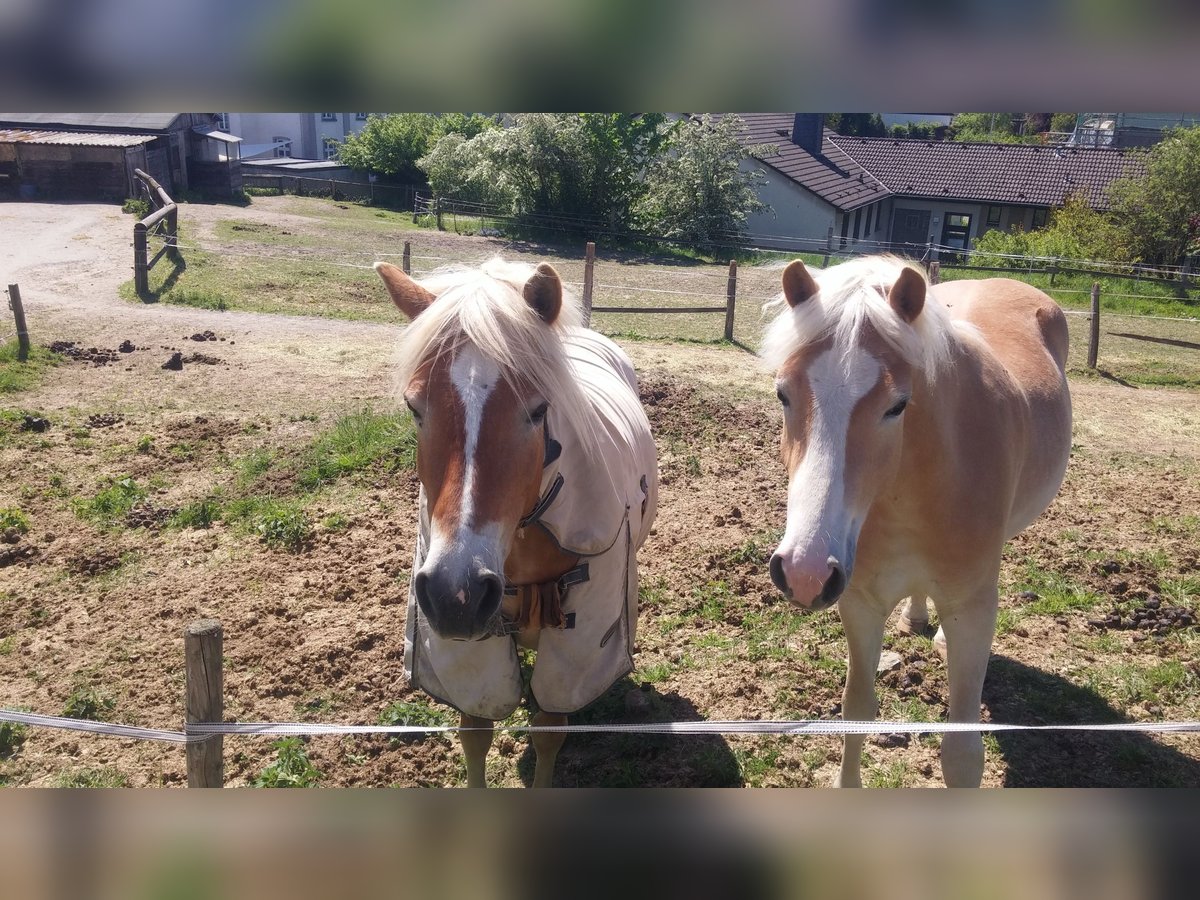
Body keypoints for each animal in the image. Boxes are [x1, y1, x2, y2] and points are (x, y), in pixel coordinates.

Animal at [374, 256, 657, 787]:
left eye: (538, 409)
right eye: (414, 407)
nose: (456, 593)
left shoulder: (579, 641)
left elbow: (549, 730)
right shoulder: (469, 652)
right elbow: (475, 732)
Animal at [758, 255, 1070, 787]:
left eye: (897, 405)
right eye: (783, 394)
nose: (804, 572)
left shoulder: (970, 612)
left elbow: (962, 752)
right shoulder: (859, 602)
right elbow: (856, 710)